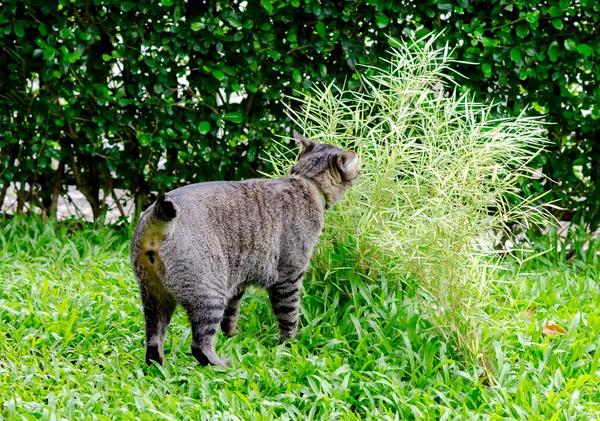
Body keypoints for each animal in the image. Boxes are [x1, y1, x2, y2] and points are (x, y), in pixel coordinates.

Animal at [129, 131, 358, 364]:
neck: (307, 182)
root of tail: (154, 217)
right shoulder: (288, 277)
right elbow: (289, 317)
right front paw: (289, 347)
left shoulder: (238, 284)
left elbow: (231, 316)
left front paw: (232, 338)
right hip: (209, 294)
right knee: (199, 345)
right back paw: (223, 365)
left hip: (154, 296)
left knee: (153, 343)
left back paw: (158, 367)